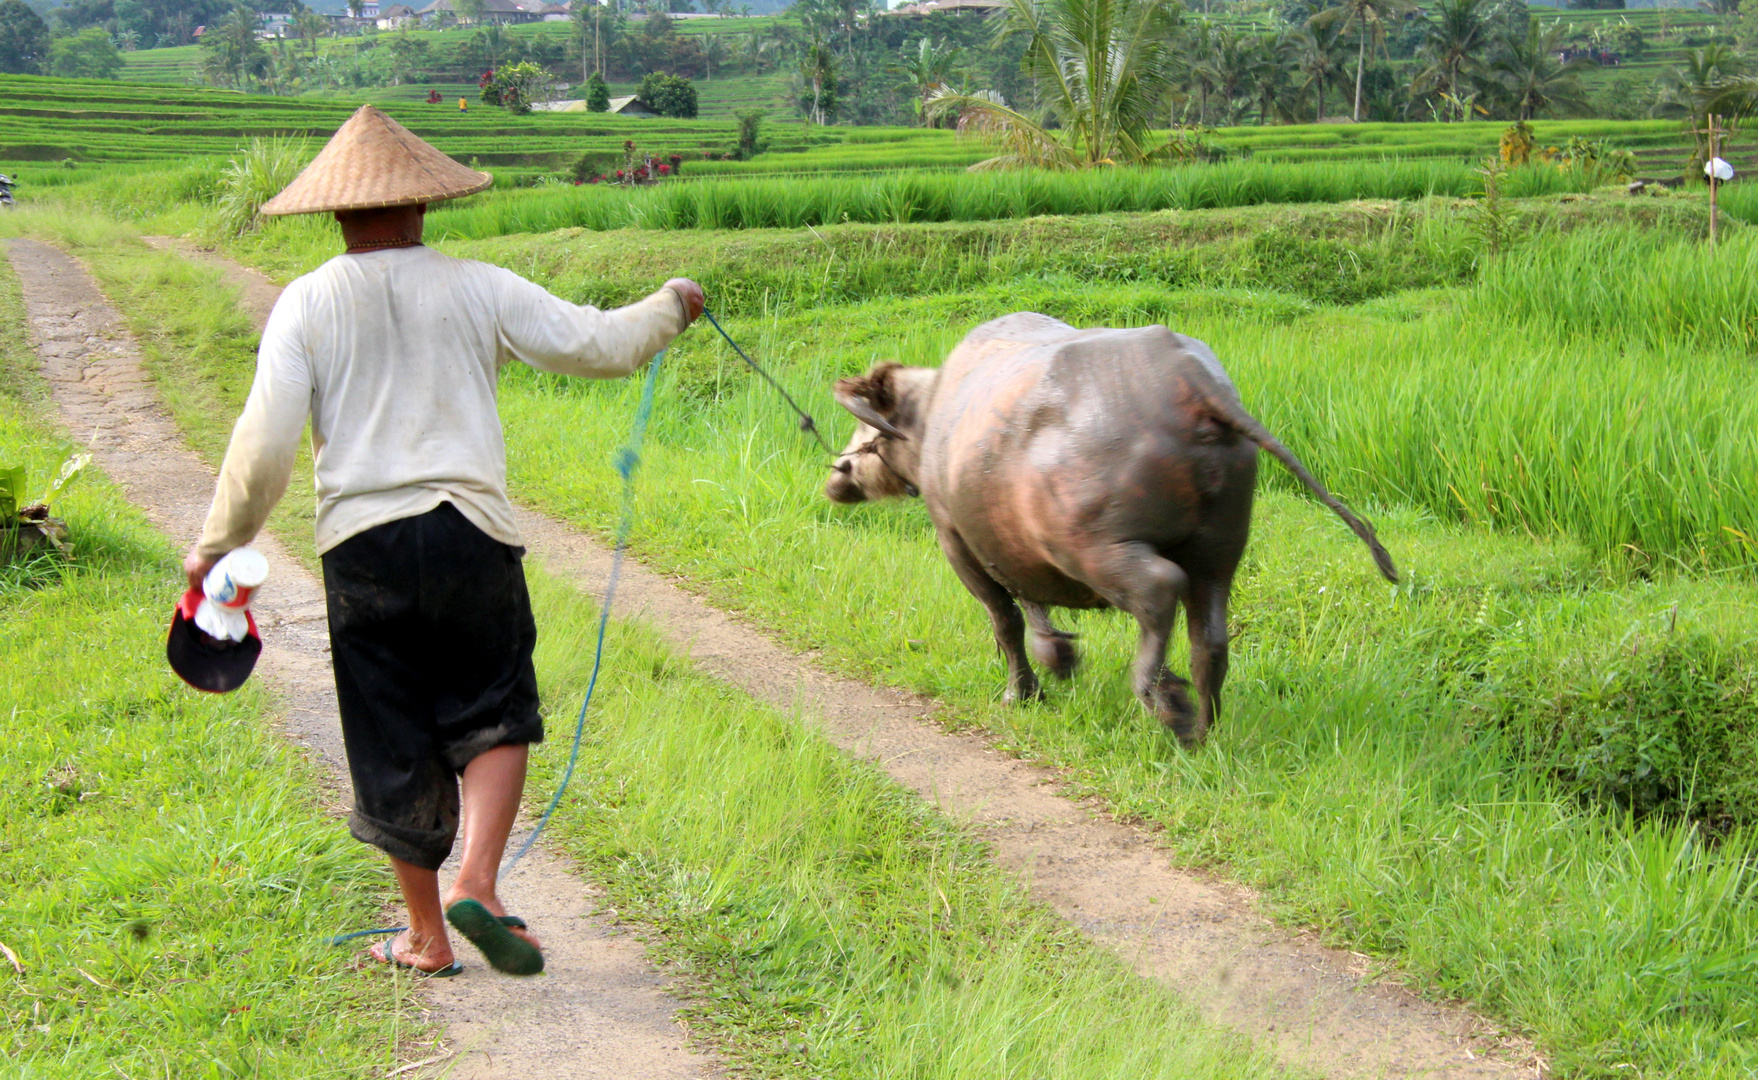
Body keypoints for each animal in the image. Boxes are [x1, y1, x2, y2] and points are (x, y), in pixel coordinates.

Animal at [826, 313, 1399, 745]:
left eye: (865, 425)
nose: (838, 475)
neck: (932, 419)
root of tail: (1191, 381)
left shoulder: (960, 543)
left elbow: (1005, 621)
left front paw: (1023, 691)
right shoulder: (1009, 543)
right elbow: (1033, 604)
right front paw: (1058, 657)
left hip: (1092, 547)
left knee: (1159, 590)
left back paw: (1164, 701)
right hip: (1220, 546)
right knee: (1210, 636)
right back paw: (1203, 728)